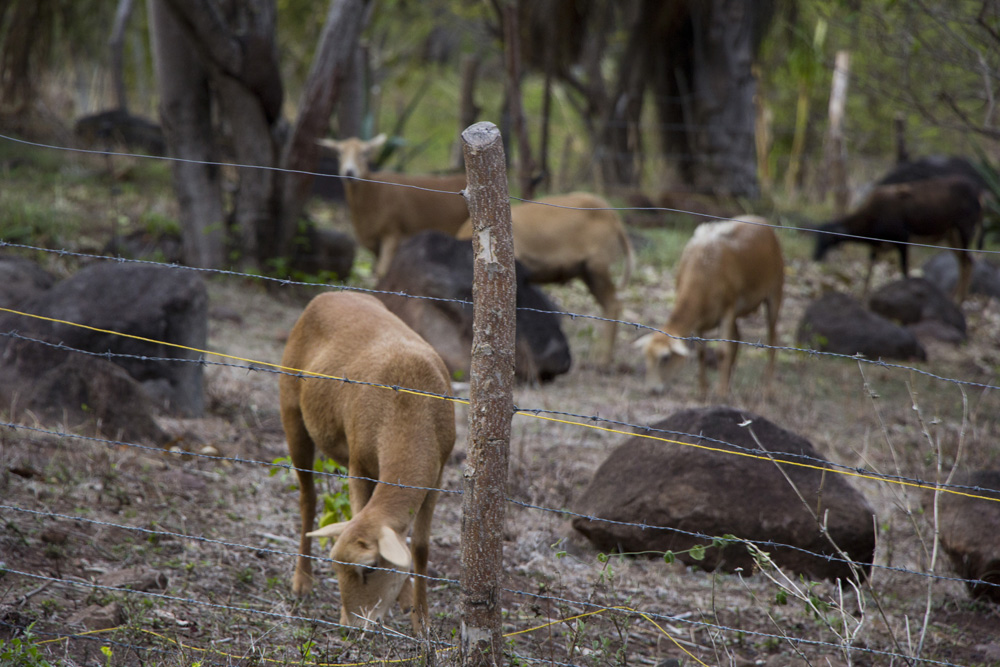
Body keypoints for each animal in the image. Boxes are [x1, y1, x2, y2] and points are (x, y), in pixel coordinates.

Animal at [280, 292, 456, 632]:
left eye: (372, 567)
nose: (351, 625)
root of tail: (329, 294)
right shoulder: (358, 464)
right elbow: (359, 512)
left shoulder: (436, 476)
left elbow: (419, 547)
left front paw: (421, 620)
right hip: (292, 412)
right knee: (308, 498)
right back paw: (301, 580)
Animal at [636, 218, 784, 396]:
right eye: (645, 357)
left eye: (665, 358)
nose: (651, 390)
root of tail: (762, 221)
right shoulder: (701, 319)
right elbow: (701, 353)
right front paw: (703, 391)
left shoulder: (728, 309)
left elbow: (722, 352)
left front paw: (720, 393)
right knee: (737, 337)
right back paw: (729, 383)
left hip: (775, 289)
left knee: (772, 339)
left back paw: (768, 389)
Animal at [812, 176, 984, 304]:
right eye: (816, 237)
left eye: (827, 238)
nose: (815, 256)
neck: (871, 224)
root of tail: (980, 196)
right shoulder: (876, 247)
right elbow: (868, 272)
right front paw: (863, 298)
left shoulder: (903, 237)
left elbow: (904, 271)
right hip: (951, 234)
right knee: (965, 262)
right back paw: (954, 298)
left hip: (965, 228)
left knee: (967, 262)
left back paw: (959, 300)